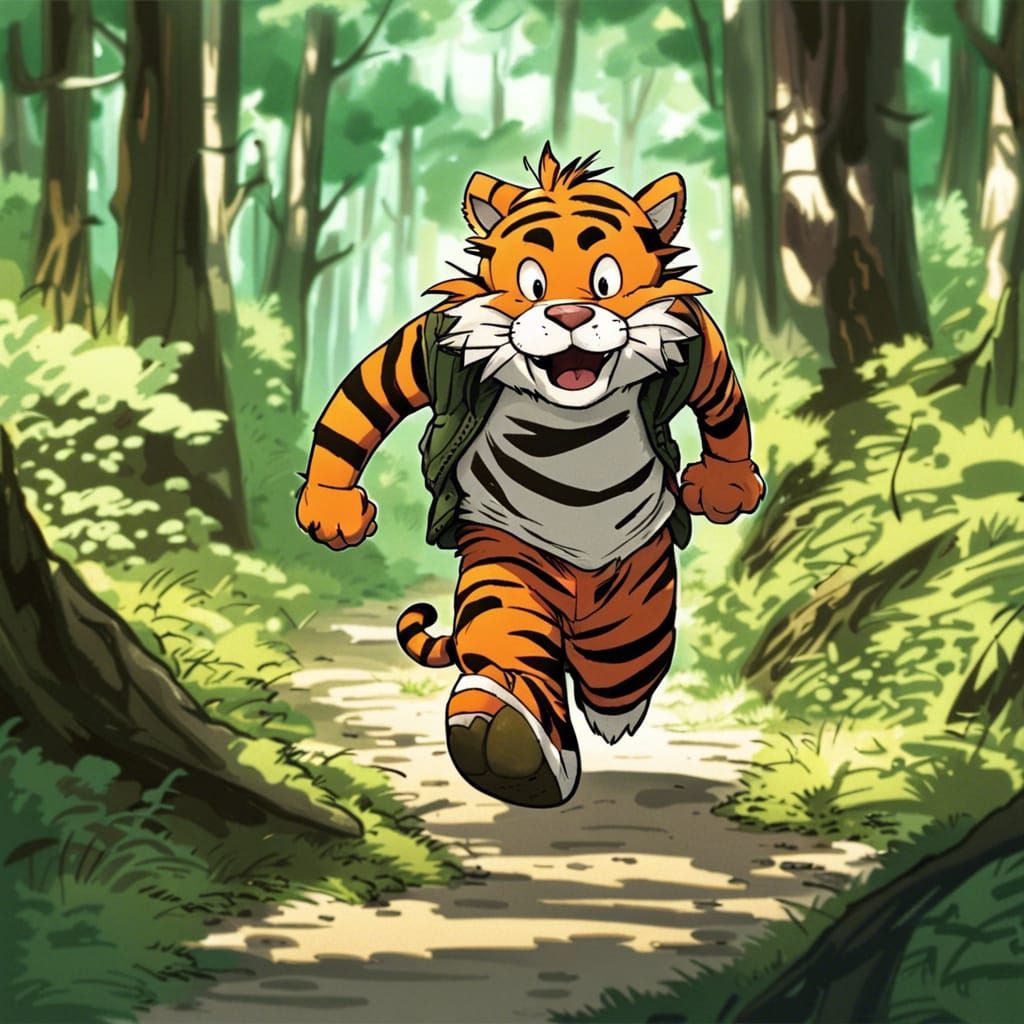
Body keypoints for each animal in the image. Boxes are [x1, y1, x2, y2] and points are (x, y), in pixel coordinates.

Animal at [296, 145, 765, 808]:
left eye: (605, 281)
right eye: (532, 284)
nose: (568, 313)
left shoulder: (695, 337)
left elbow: (724, 406)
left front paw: (724, 489)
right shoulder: (428, 344)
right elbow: (360, 403)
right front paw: (332, 509)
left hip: (635, 607)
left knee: (623, 671)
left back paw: (611, 718)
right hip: (513, 570)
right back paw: (502, 737)